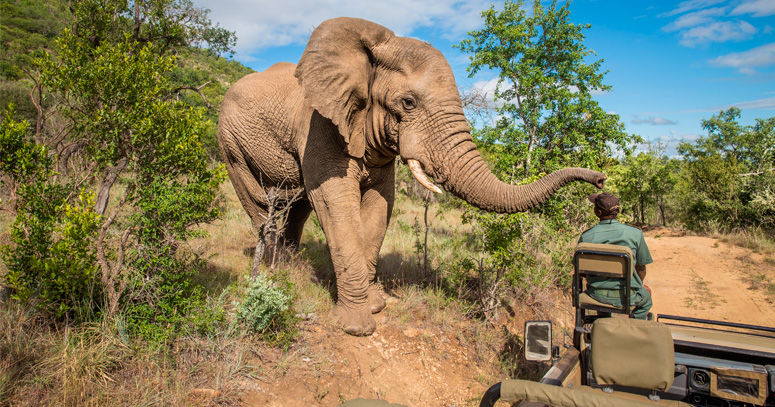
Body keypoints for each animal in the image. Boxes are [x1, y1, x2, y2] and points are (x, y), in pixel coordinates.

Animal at [217, 16, 608, 338]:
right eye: (408, 103)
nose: (601, 181)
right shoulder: (318, 125)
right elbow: (335, 203)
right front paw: (357, 327)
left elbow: (380, 205)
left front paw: (376, 304)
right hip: (230, 144)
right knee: (261, 204)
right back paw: (275, 269)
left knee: (297, 207)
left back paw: (291, 264)